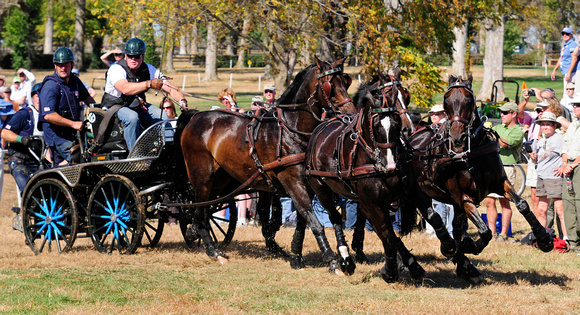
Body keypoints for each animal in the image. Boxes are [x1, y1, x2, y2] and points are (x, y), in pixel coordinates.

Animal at [179, 57, 356, 270]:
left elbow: (302, 221)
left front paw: (296, 255)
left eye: (346, 81)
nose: (351, 114)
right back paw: (213, 250)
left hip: (223, 179)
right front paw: (331, 258)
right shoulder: (293, 183)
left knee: (206, 209)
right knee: (200, 210)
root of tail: (195, 116)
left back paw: (197, 234)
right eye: (329, 85)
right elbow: (312, 220)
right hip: (203, 177)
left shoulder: (307, 185)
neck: (291, 129)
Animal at [408, 74, 552, 284]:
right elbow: (485, 231)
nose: (457, 137)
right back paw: (455, 253)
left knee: (455, 227)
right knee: (435, 219)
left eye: (469, 100)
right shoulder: (464, 198)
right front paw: (469, 246)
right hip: (420, 195)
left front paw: (543, 238)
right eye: (446, 101)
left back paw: (464, 265)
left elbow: (523, 204)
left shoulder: (500, 184)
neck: (471, 154)